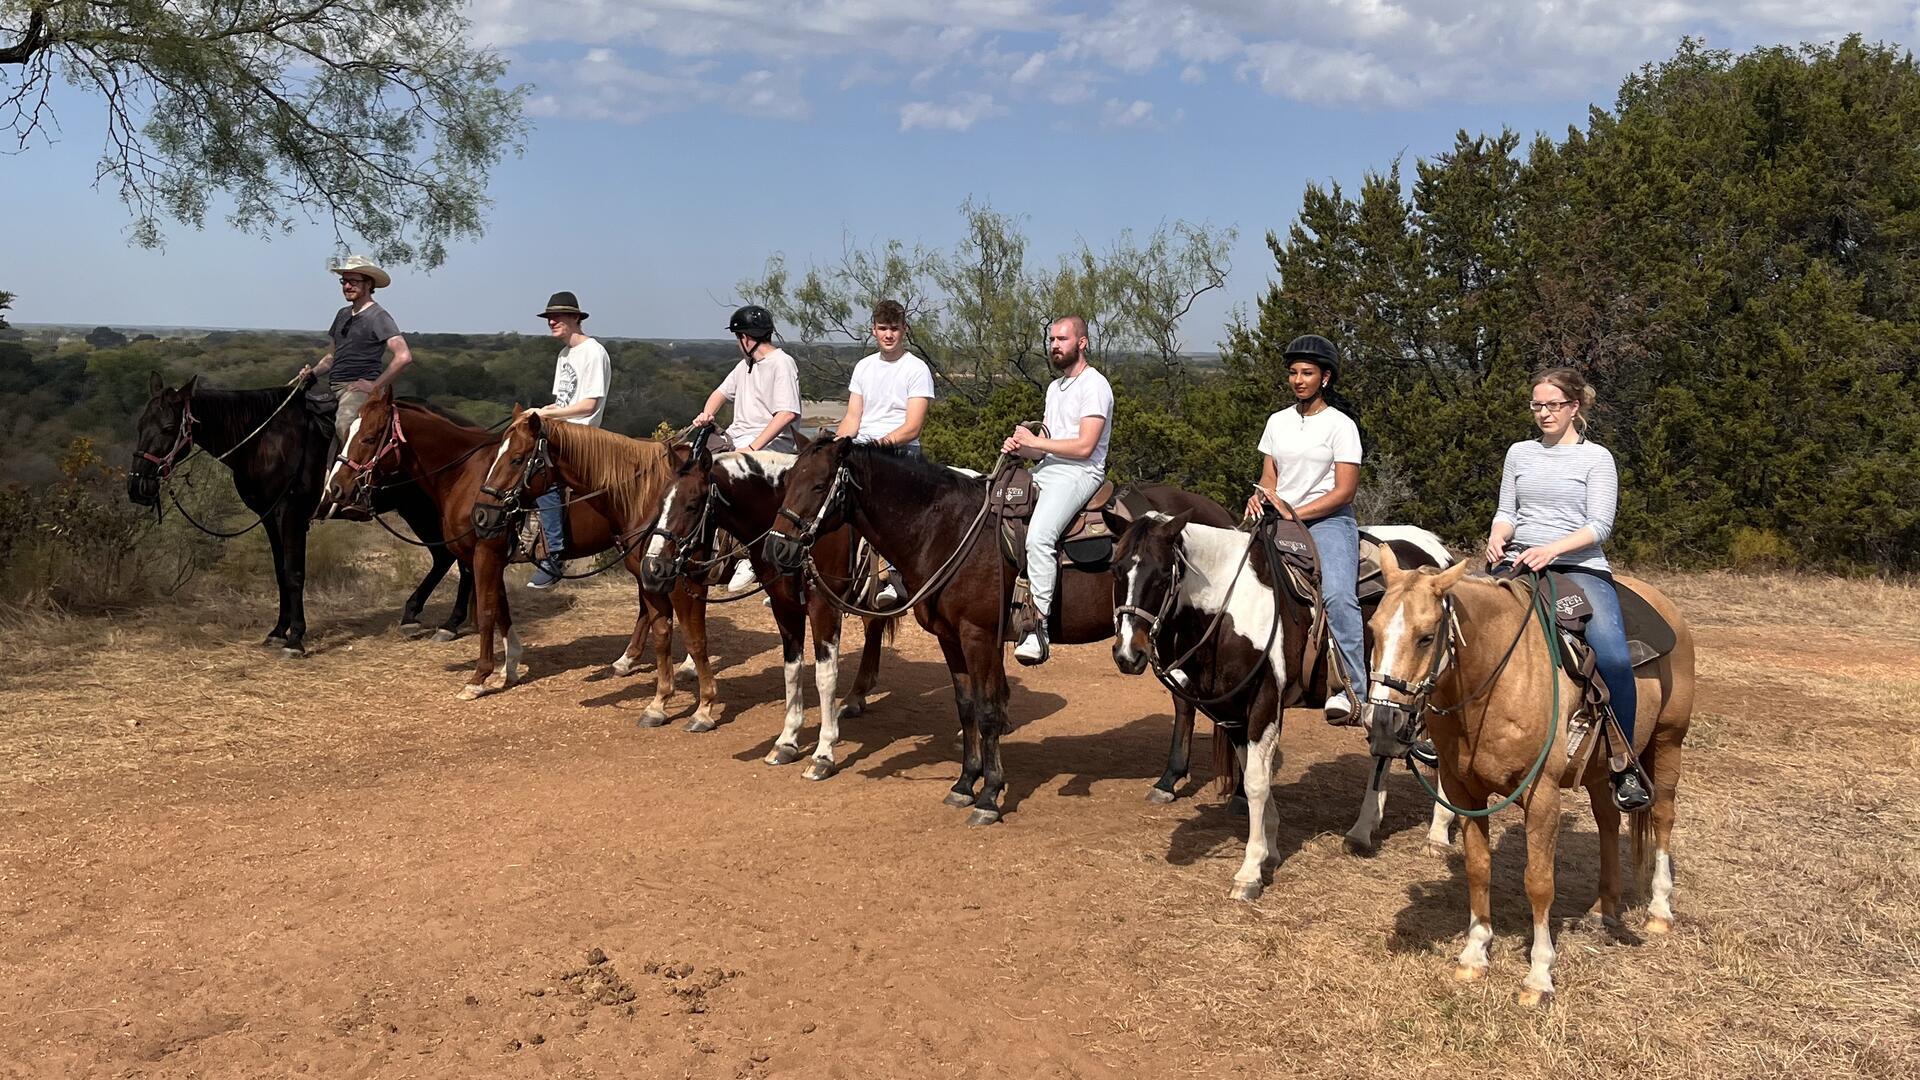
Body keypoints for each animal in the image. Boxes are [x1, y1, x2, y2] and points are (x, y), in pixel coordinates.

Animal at [130, 374, 468, 653]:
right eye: (140, 425)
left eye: (168, 428)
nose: (138, 486)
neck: (264, 441)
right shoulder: (269, 517)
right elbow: (281, 572)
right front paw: (279, 631)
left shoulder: (291, 514)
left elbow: (294, 574)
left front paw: (295, 638)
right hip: (415, 509)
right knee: (444, 557)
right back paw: (415, 614)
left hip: (425, 509)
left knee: (456, 557)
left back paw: (451, 623)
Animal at [637, 432, 890, 776]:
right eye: (660, 503)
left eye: (692, 505)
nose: (653, 569)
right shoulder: (785, 607)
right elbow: (792, 671)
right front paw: (786, 742)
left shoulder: (824, 607)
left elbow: (825, 676)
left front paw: (823, 754)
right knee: (874, 625)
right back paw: (855, 697)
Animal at [1367, 549, 1697, 1006]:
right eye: (1373, 629)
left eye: (1426, 637)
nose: (1383, 724)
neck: (1496, 680)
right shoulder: (1463, 791)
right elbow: (1478, 869)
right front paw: (1474, 953)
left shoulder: (1542, 796)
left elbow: (1539, 882)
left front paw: (1539, 975)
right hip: (1600, 770)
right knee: (1608, 822)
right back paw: (1604, 909)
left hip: (1669, 740)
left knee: (1663, 816)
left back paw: (1660, 910)